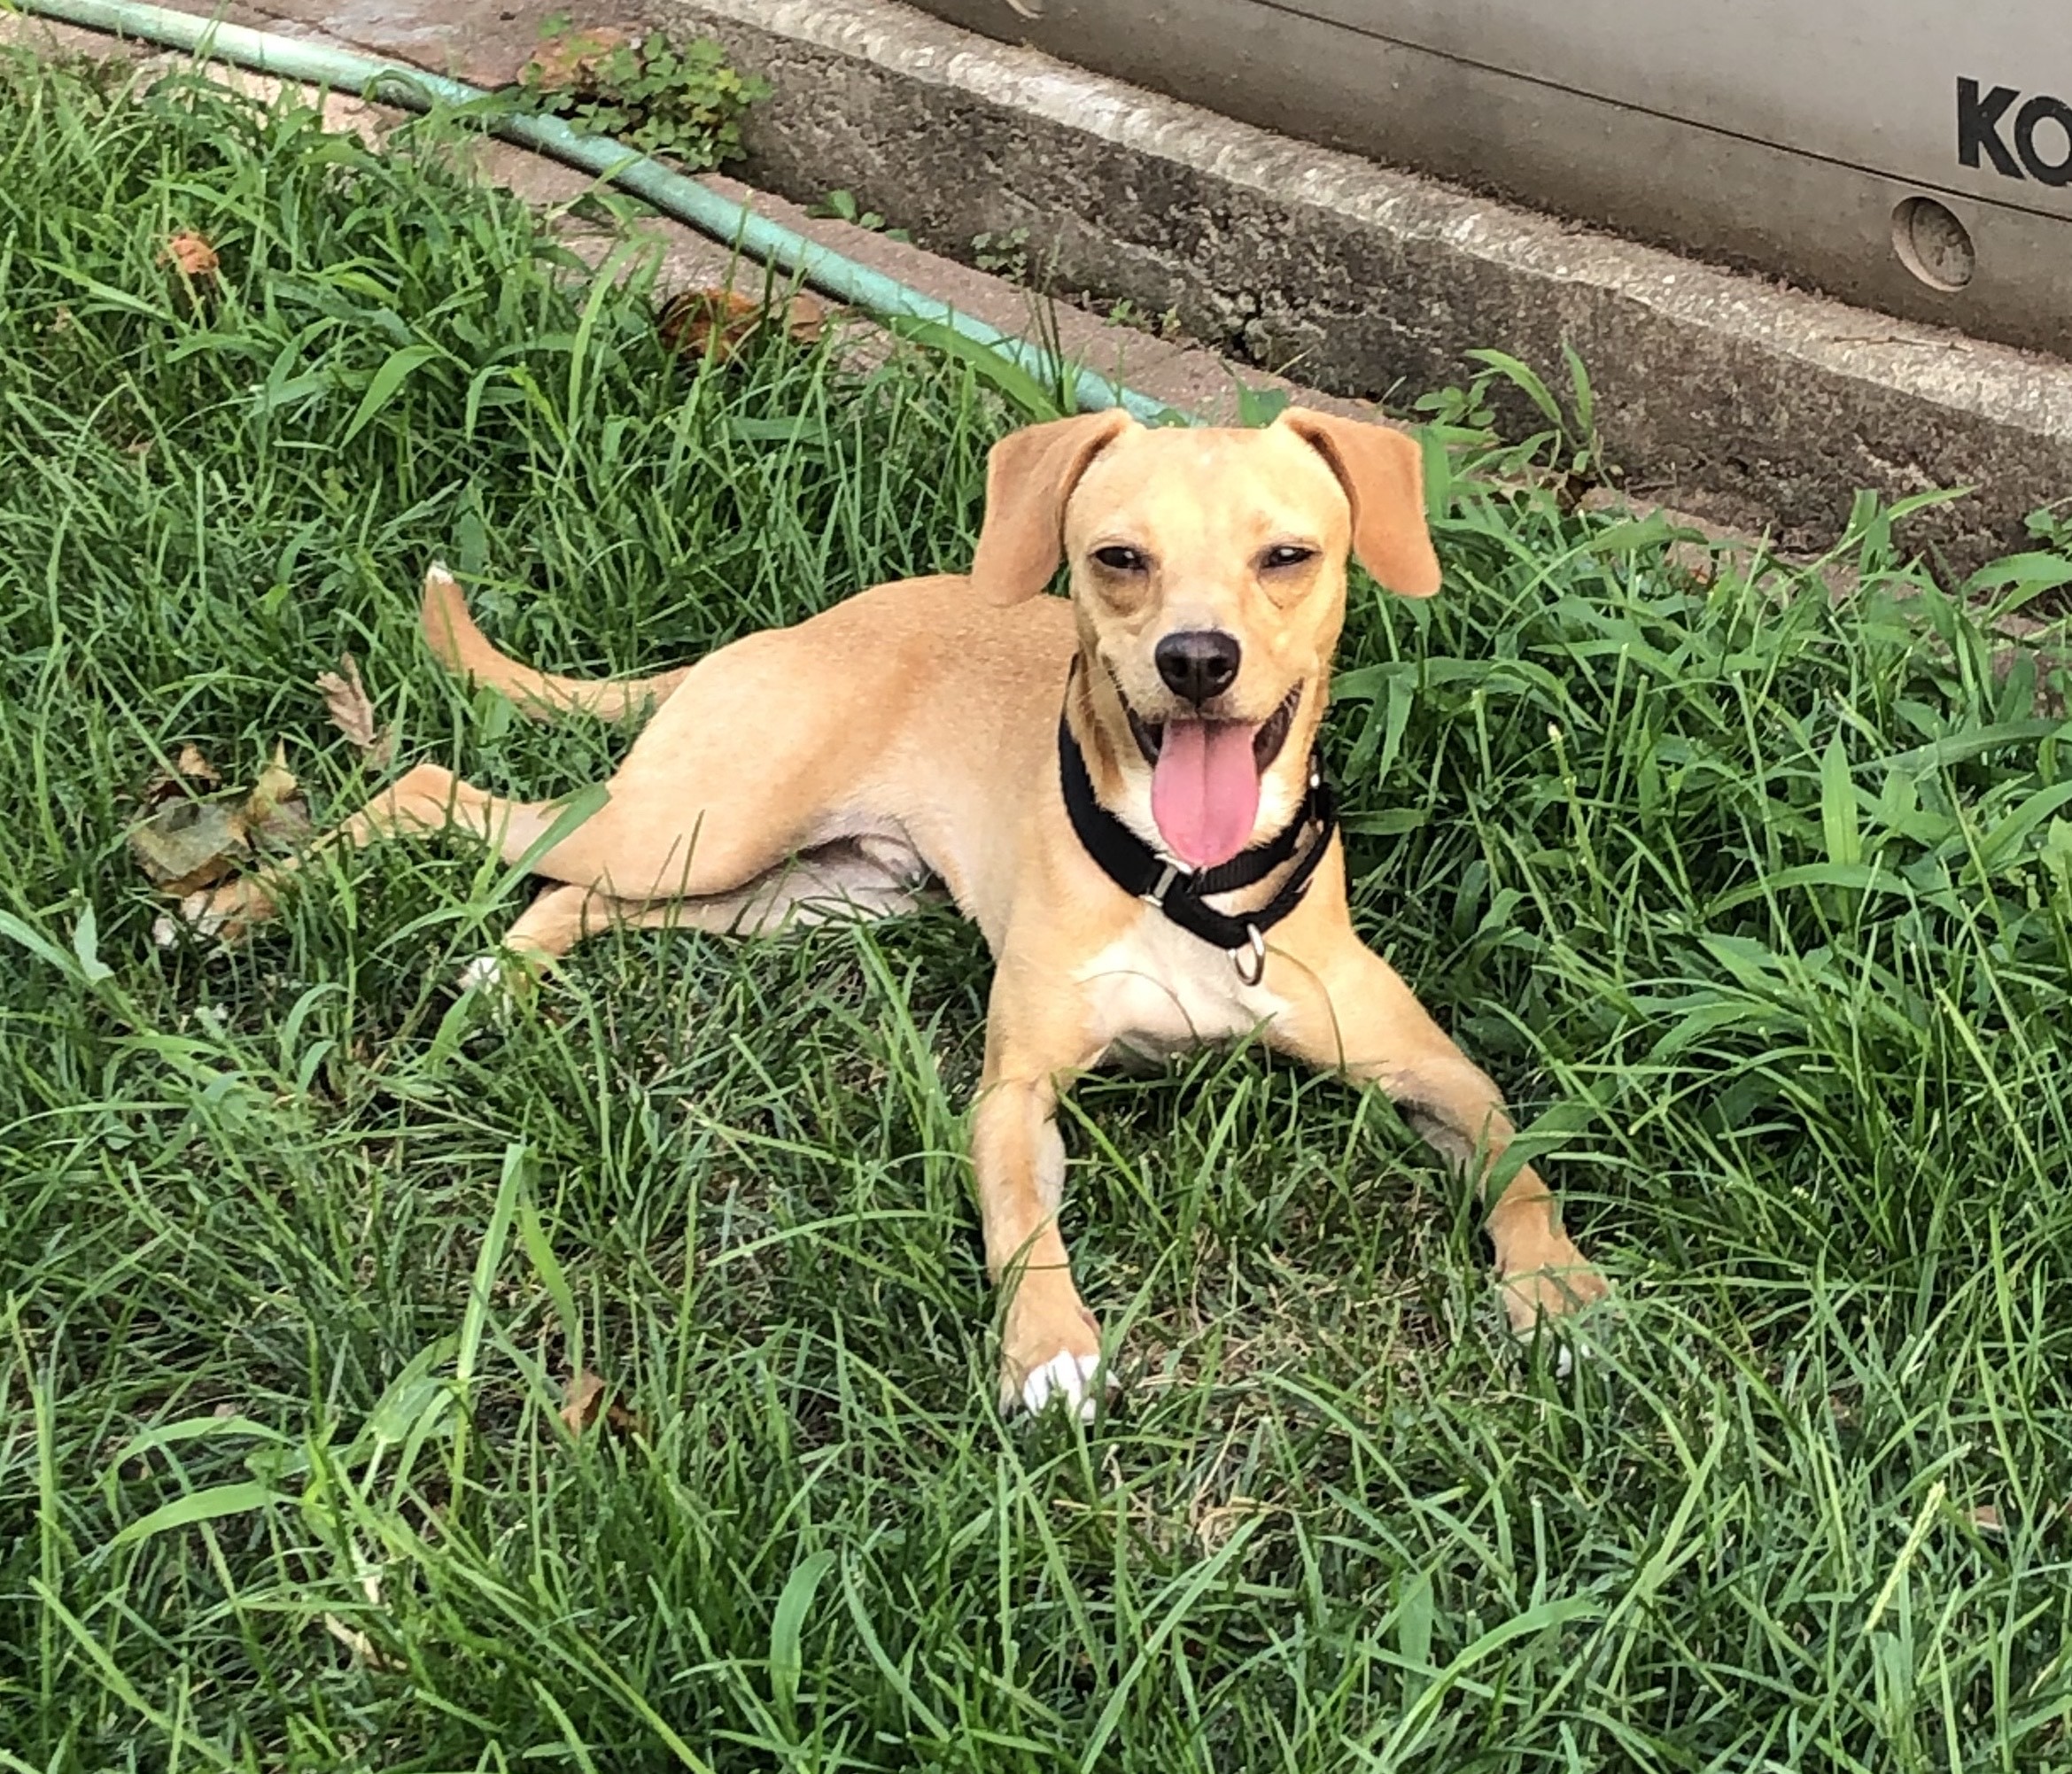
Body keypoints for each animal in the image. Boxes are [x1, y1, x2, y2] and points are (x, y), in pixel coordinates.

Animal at [174, 407, 1599, 1417]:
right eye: (1117, 559)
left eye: (1286, 556)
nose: (1196, 659)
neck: (1193, 890)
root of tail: (783, 631)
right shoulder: (1012, 1093)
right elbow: (1022, 1222)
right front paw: (1049, 1350)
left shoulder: (1434, 1067)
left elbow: (1517, 1157)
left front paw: (1560, 1291)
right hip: (699, 828)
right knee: (434, 790)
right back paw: (228, 907)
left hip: (795, 893)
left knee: (567, 891)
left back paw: (501, 976)